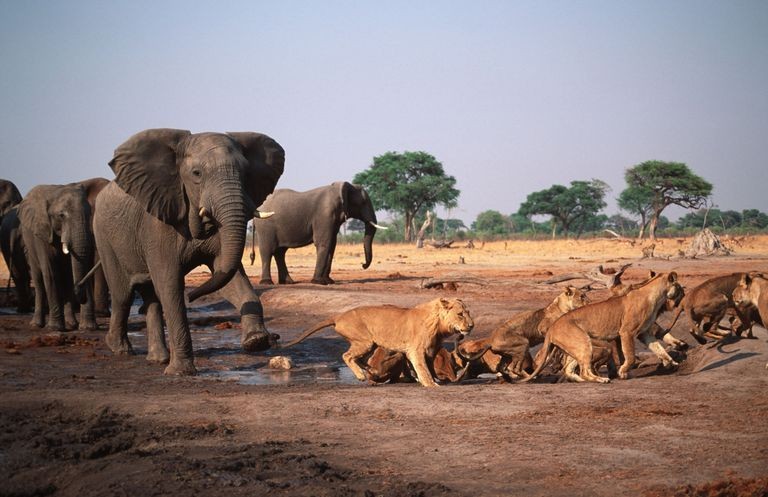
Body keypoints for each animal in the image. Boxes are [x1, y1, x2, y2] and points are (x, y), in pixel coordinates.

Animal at [17, 181, 102, 330]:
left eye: (89, 213)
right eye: (61, 215)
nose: (80, 293)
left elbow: (83, 267)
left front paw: (88, 328)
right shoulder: (42, 232)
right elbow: (51, 273)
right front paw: (55, 328)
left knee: (67, 278)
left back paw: (71, 324)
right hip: (29, 243)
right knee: (39, 281)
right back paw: (37, 325)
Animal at [94, 127, 284, 372]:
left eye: (245, 173)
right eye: (197, 174)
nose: (193, 296)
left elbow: (227, 276)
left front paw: (256, 341)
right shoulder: (157, 223)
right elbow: (170, 284)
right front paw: (181, 372)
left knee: (151, 296)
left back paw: (158, 358)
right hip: (104, 237)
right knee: (123, 295)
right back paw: (120, 349)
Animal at [255, 182, 384, 284]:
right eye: (363, 202)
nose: (363, 264)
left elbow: (332, 245)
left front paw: (329, 281)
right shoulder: (324, 215)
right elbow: (324, 243)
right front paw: (318, 282)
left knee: (280, 253)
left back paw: (288, 282)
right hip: (265, 226)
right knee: (267, 251)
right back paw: (267, 282)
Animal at [282, 296, 474, 386]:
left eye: (468, 312)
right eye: (460, 314)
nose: (472, 325)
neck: (439, 325)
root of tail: (339, 316)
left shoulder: (431, 350)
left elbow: (429, 368)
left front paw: (434, 380)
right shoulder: (416, 350)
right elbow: (423, 369)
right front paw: (431, 384)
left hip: (370, 345)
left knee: (359, 358)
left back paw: (370, 371)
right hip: (364, 341)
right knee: (347, 356)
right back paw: (361, 375)